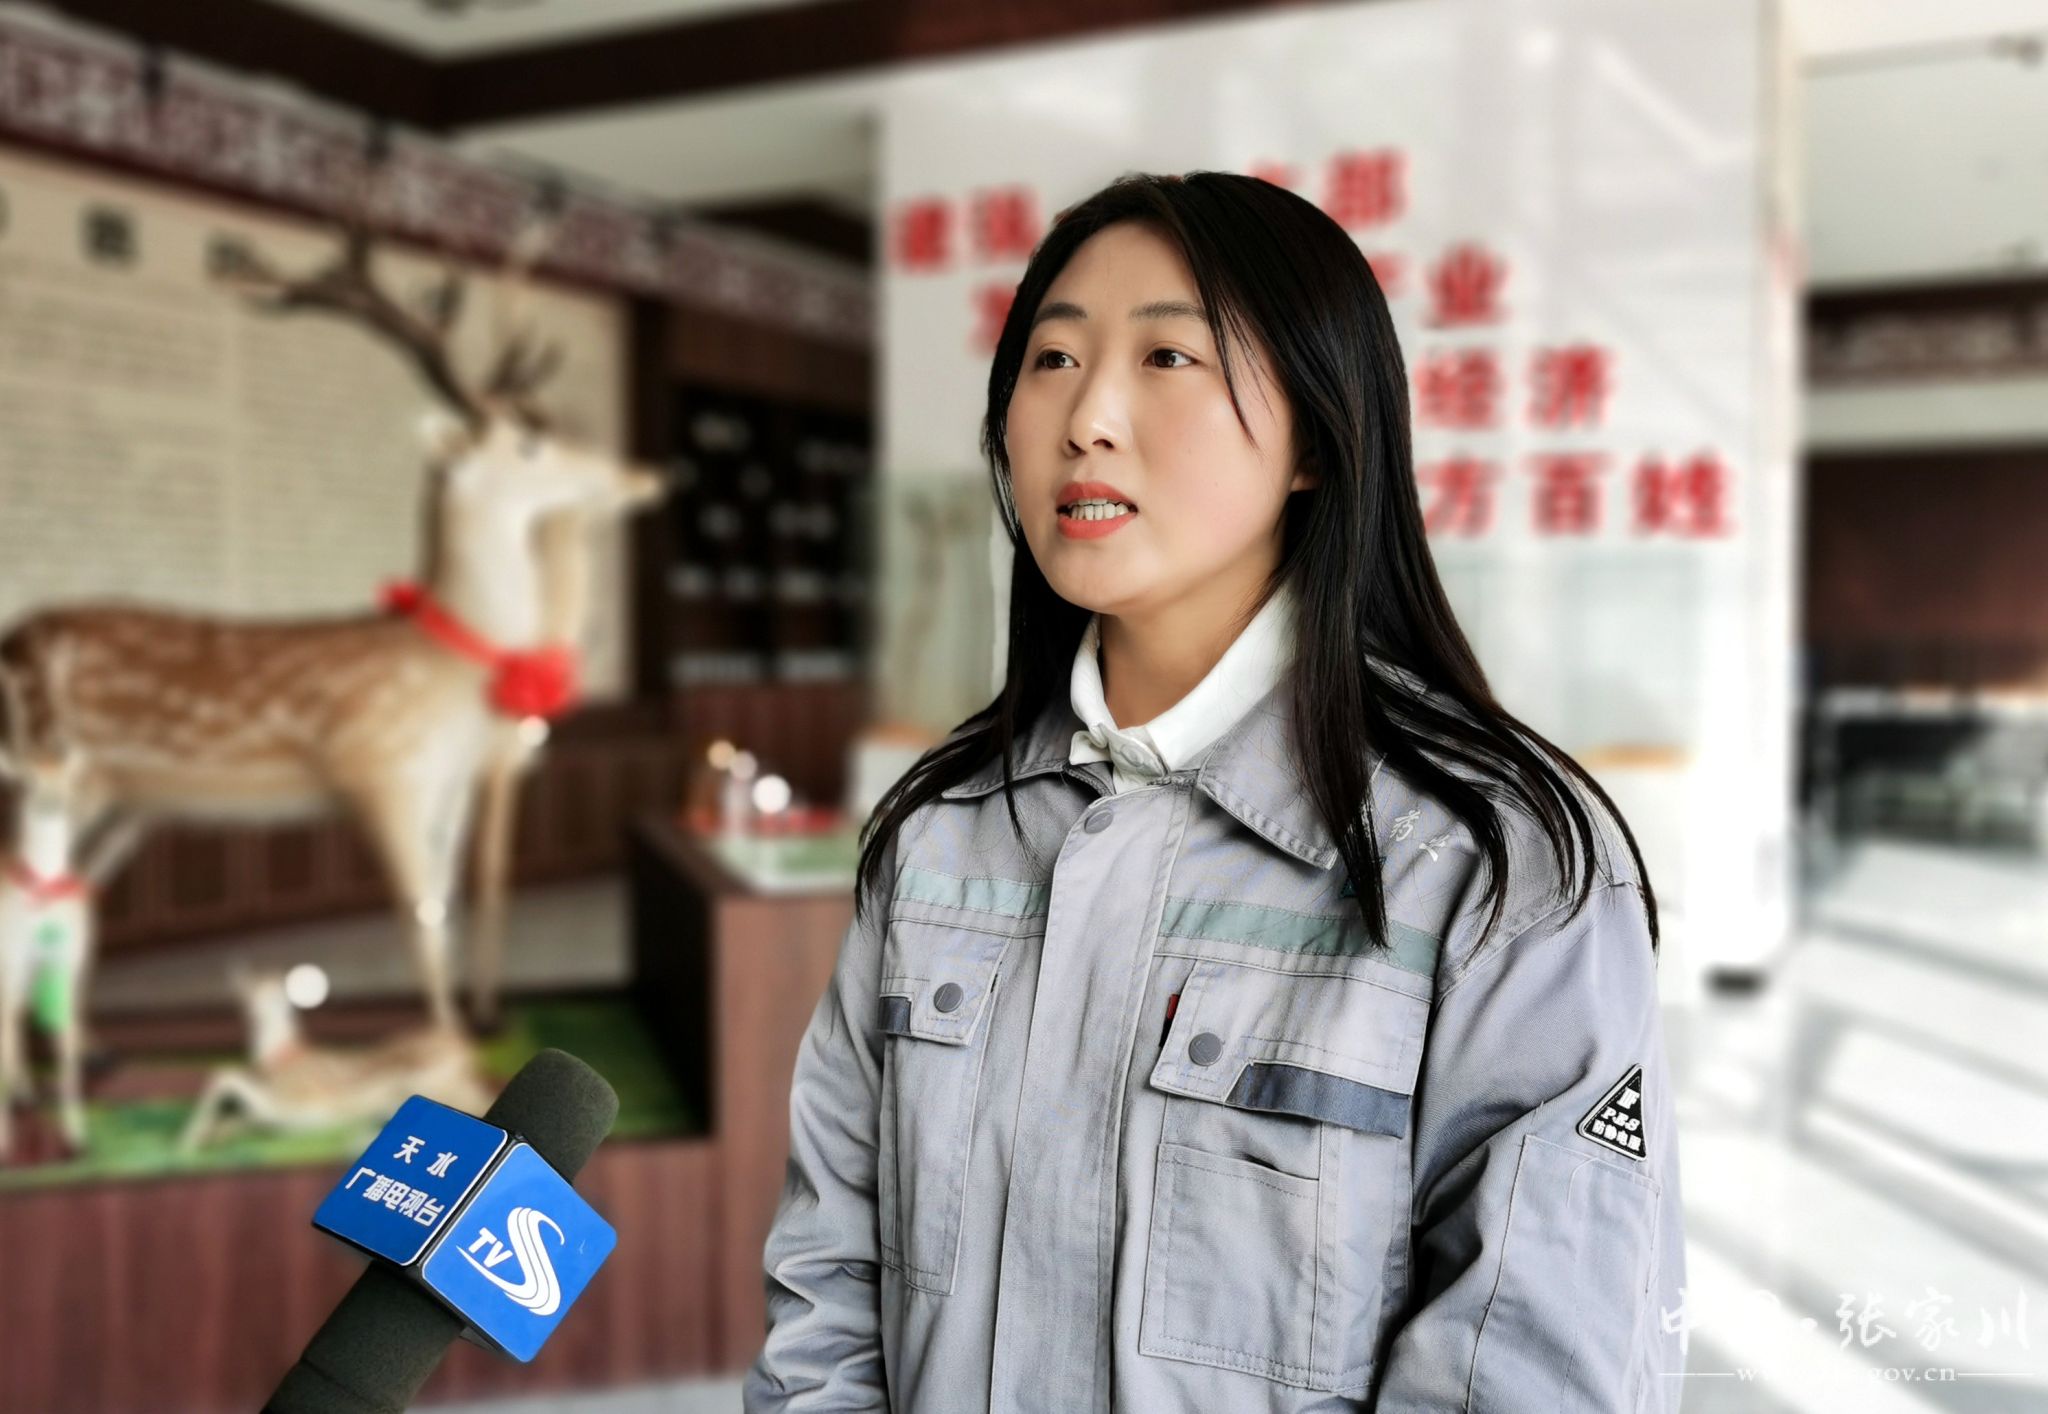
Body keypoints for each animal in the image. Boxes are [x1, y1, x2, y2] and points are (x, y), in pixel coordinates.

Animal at [0, 201, 667, 1035]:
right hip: (49, 771)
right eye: (529, 443)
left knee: (66, 902)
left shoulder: (450, 782)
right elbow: (420, 928)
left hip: (117, 798)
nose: (646, 474)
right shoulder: (380, 771)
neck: (448, 668)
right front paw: (450, 1043)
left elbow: (446, 913)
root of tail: (12, 641)